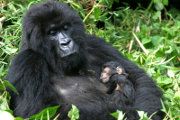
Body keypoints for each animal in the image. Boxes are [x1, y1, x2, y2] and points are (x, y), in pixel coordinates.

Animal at [7, 0, 163, 119]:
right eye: (52, 33)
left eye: (66, 27)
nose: (66, 43)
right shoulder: (27, 61)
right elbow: (37, 111)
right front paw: (121, 99)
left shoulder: (94, 43)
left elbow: (140, 80)